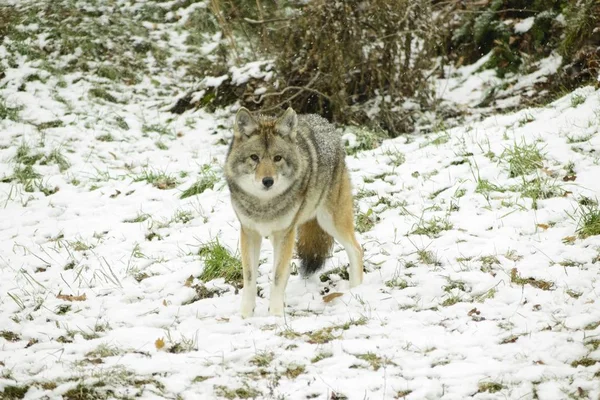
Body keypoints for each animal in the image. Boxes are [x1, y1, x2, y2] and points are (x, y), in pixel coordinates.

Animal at [225, 107, 366, 318]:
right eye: (254, 157)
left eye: (277, 158)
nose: (268, 181)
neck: (264, 205)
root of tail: (324, 121)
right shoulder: (249, 233)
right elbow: (249, 278)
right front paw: (245, 315)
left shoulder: (285, 234)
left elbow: (278, 277)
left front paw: (275, 316)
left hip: (331, 221)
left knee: (357, 249)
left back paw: (356, 290)